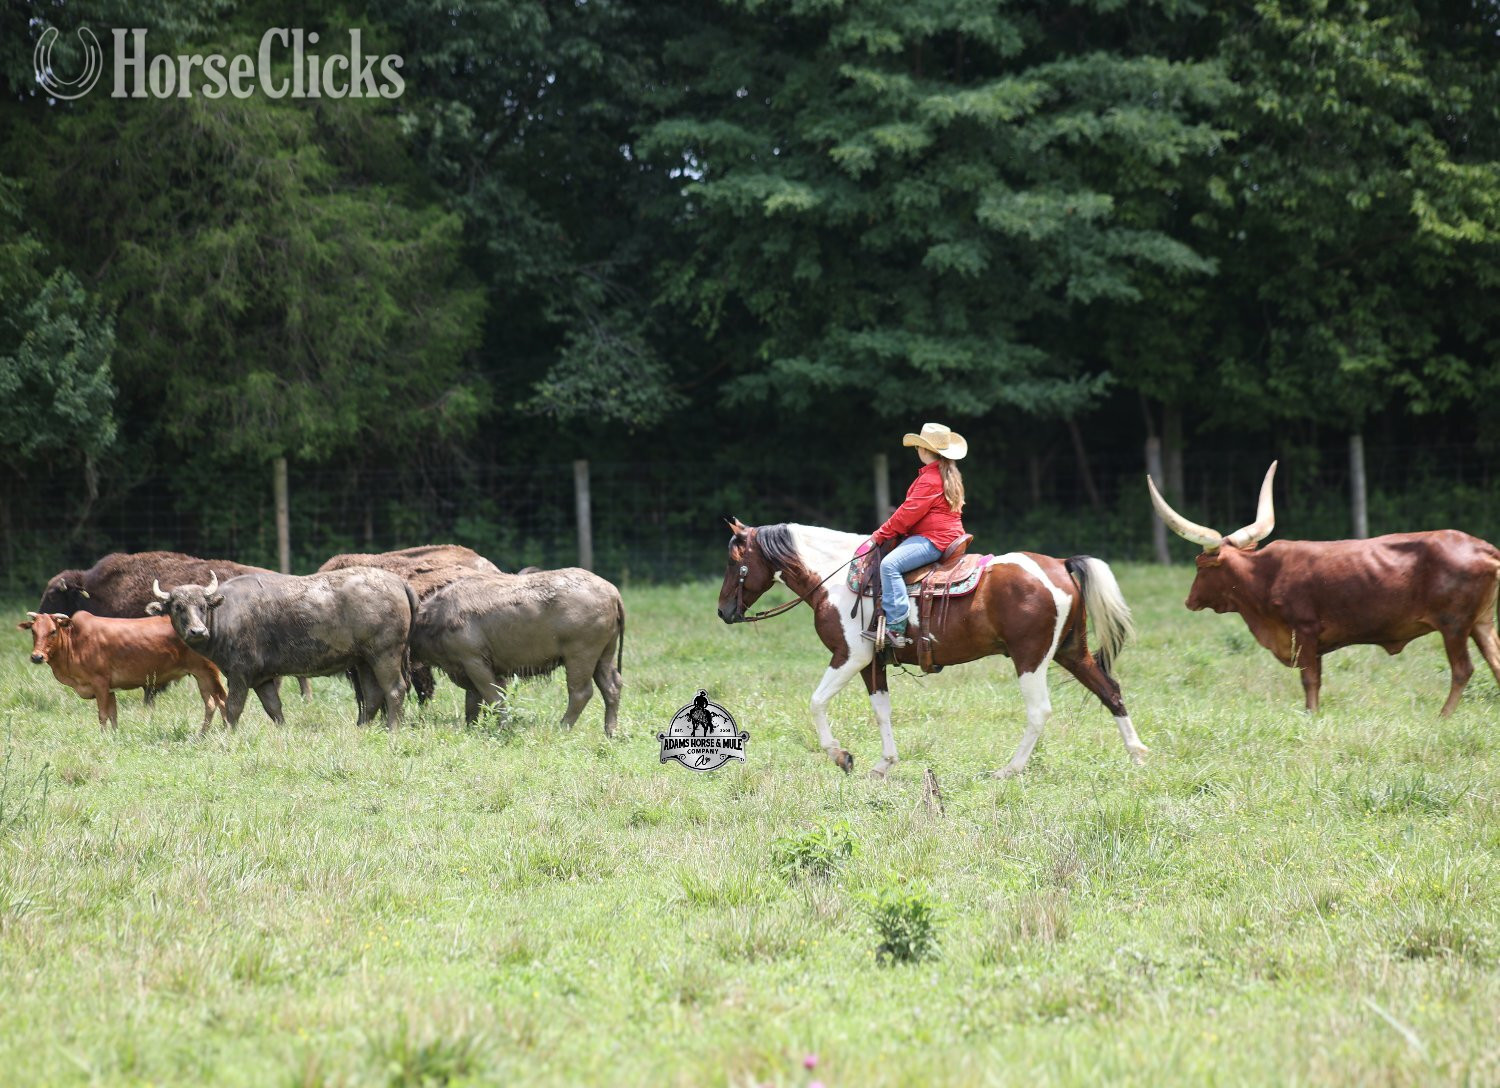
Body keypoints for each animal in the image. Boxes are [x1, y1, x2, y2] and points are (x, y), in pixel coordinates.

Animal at [716, 516, 1148, 778]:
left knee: (1039, 711)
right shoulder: (873, 662)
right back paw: (1138, 754)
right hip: (1071, 651)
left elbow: (817, 702)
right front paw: (884, 764)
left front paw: (841, 756)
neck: (835, 579)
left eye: (734, 561)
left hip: (1031, 658)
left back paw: (1008, 770)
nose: (723, 611)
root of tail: (1059, 563)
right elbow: (882, 711)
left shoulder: (850, 655)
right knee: (1110, 691)